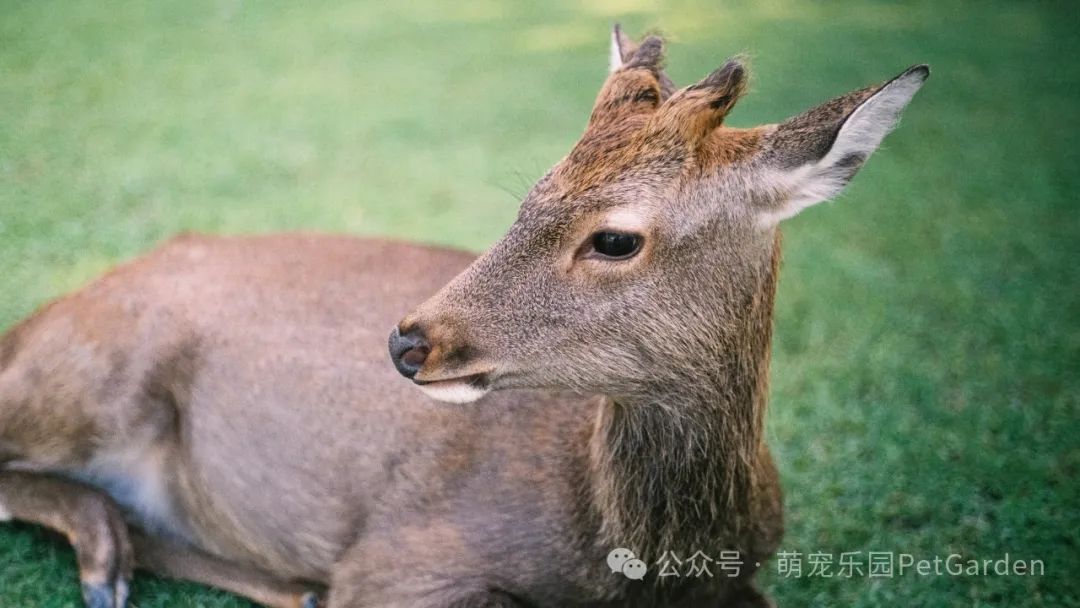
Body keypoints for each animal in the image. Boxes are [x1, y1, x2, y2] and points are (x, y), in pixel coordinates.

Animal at [0, 27, 927, 608]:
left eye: (615, 238)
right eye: (529, 195)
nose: (408, 340)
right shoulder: (400, 562)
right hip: (91, 376)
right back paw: (107, 562)